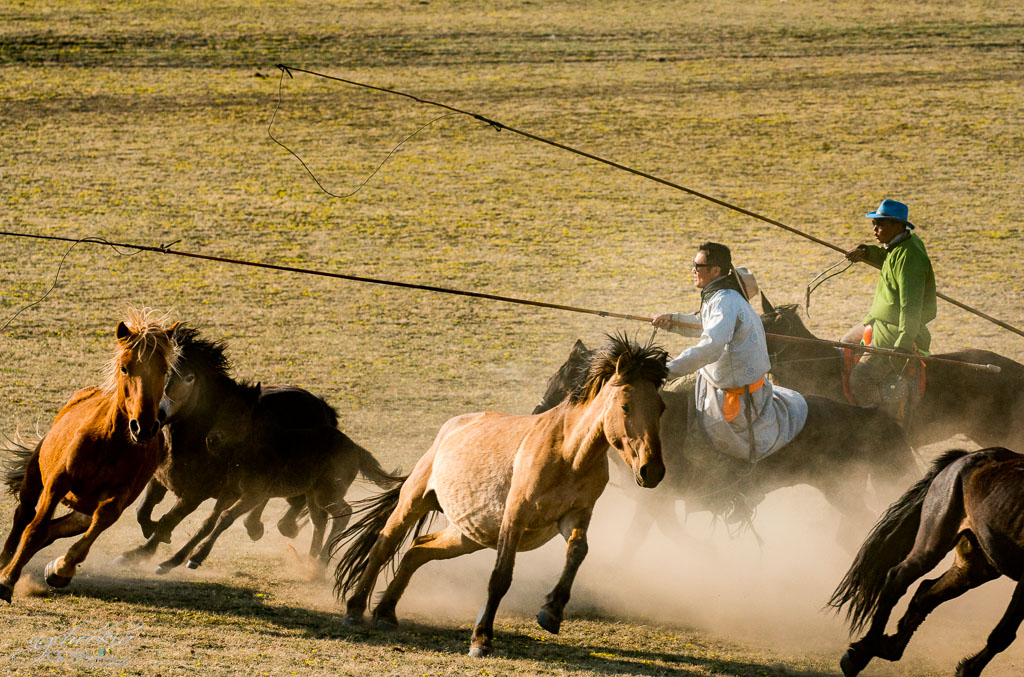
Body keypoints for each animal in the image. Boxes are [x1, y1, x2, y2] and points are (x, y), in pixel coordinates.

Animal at [0, 309, 177, 598]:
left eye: (164, 370)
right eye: (125, 367)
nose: (143, 427)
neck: (109, 444)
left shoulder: (117, 499)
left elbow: (93, 529)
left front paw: (61, 569)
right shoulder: (57, 483)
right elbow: (34, 528)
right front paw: (7, 579)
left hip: (82, 511)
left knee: (55, 530)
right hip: (34, 478)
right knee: (24, 516)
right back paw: (5, 561)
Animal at [335, 335, 671, 655]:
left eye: (661, 408)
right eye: (625, 405)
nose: (652, 471)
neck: (569, 454)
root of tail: (451, 427)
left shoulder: (575, 515)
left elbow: (578, 551)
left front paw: (551, 612)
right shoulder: (515, 516)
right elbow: (500, 576)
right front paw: (481, 639)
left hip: (467, 534)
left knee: (418, 549)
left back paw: (385, 612)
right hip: (414, 502)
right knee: (383, 547)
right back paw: (355, 609)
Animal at [835, 446, 1024, 671]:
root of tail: (964, 458)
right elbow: (1003, 634)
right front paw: (966, 670)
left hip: (974, 566)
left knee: (925, 594)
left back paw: (888, 648)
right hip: (933, 544)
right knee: (898, 578)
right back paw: (860, 656)